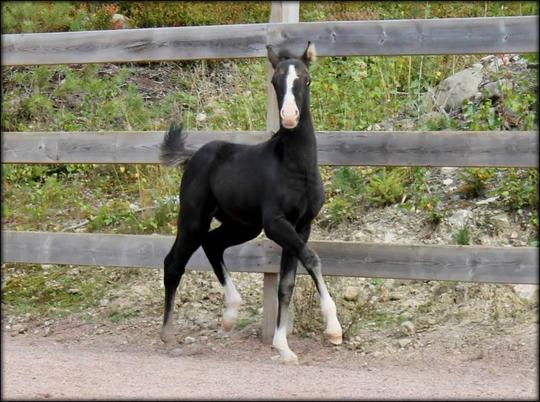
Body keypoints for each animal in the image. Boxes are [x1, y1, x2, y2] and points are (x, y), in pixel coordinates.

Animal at [158, 41, 342, 364]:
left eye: (305, 79)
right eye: (275, 81)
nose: (289, 116)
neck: (296, 167)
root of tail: (193, 156)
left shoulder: (301, 226)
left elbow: (286, 283)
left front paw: (283, 346)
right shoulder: (276, 224)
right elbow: (312, 259)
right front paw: (333, 329)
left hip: (242, 226)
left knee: (213, 244)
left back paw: (230, 313)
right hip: (194, 219)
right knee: (174, 262)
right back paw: (168, 334)